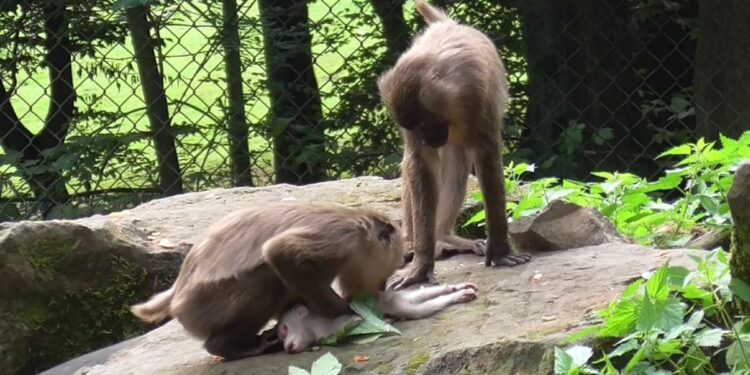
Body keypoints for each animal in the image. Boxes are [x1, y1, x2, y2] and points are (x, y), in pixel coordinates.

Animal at [132, 203, 408, 362]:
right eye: (385, 272)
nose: (380, 288)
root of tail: (176, 294)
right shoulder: (344, 236)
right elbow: (281, 252)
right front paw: (345, 311)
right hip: (203, 306)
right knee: (268, 278)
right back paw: (227, 346)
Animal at [280, 284, 478, 354]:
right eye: (282, 337)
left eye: (284, 330)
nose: (285, 346)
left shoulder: (322, 326)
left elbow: (349, 323)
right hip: (390, 298)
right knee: (414, 300)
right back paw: (452, 289)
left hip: (388, 301)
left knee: (415, 310)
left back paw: (455, 296)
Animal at [378, 0, 532, 290]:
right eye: (415, 128)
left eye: (426, 123)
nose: (428, 139)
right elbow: (420, 165)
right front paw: (421, 264)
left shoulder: (477, 95)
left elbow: (486, 155)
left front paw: (501, 250)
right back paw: (418, 242)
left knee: (458, 160)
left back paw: (444, 237)